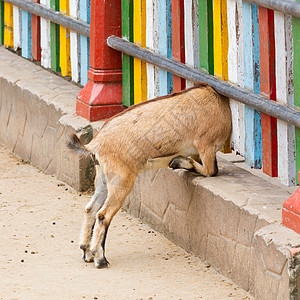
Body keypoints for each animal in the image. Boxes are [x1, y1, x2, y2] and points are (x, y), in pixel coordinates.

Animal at [68, 83, 232, 268]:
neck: (216, 99)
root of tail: (94, 145)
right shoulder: (206, 145)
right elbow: (211, 170)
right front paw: (177, 161)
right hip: (121, 180)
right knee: (103, 215)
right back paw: (100, 258)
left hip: (103, 178)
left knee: (91, 209)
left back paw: (87, 252)